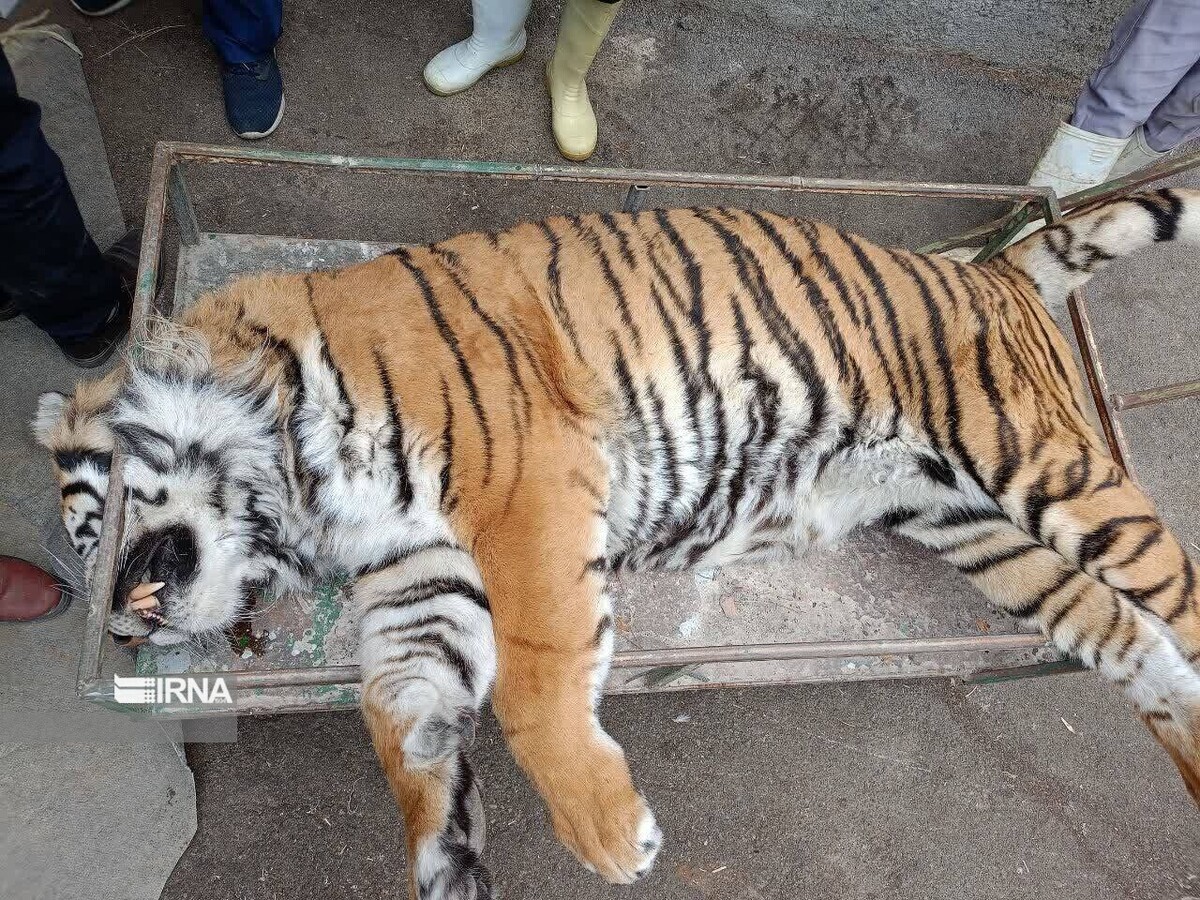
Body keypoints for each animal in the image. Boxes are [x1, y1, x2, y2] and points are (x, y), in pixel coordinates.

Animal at [32, 188, 1200, 897]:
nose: (124, 636)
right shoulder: (419, 579)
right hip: (985, 535)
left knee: (1175, 598)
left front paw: (606, 829)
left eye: (94, 535)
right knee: (1134, 647)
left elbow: (536, 678)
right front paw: (443, 848)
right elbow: (401, 721)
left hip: (1050, 471)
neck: (292, 483)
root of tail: (997, 269)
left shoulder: (527, 484)